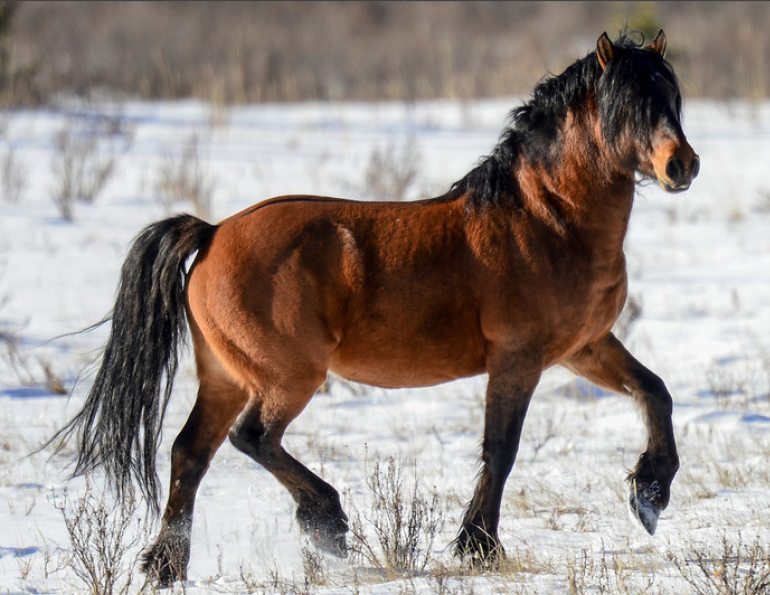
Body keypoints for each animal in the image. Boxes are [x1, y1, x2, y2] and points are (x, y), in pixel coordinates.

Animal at [54, 30, 696, 584]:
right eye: (628, 104)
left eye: (672, 97)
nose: (681, 165)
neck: (546, 220)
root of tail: (211, 233)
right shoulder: (520, 357)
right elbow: (501, 448)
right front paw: (481, 546)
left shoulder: (584, 347)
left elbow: (655, 392)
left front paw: (649, 494)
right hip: (287, 376)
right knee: (252, 438)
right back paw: (327, 523)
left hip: (225, 376)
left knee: (191, 452)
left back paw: (167, 565)